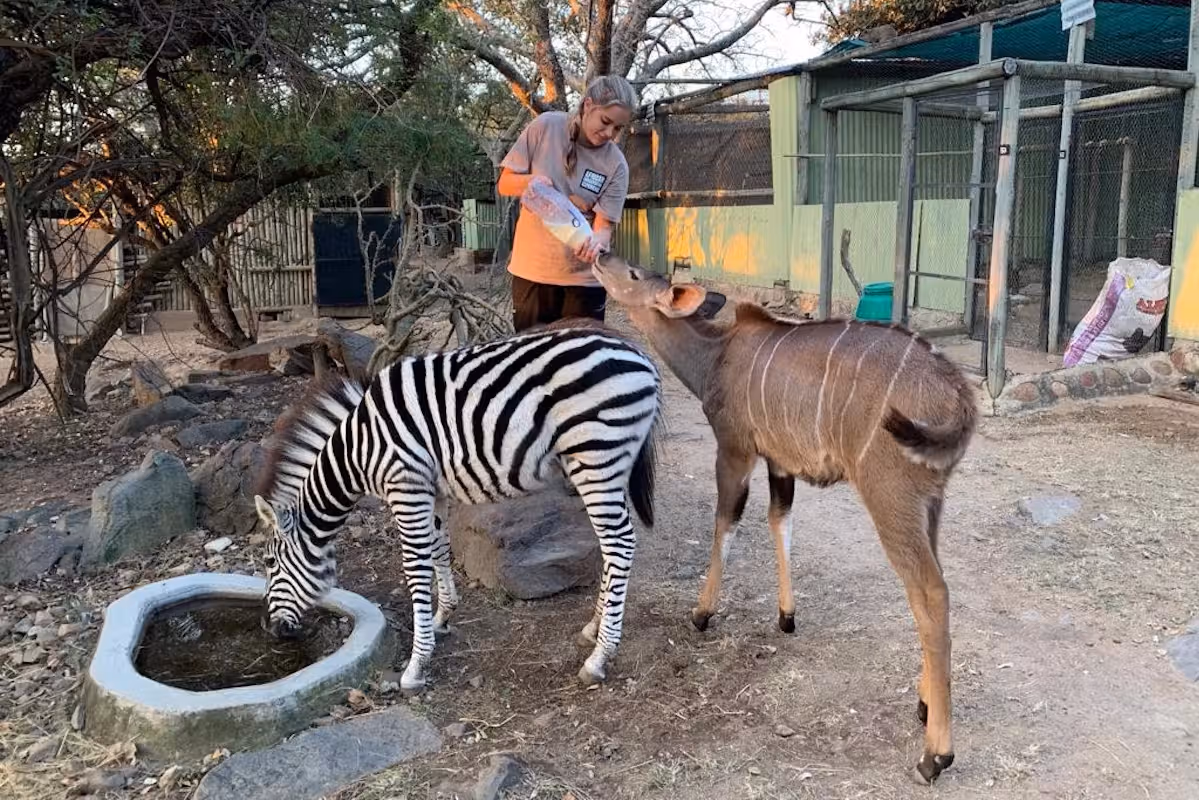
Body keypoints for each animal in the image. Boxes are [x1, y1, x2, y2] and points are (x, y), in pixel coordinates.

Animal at [253, 320, 663, 694]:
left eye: (270, 563)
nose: (269, 629)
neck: (358, 449)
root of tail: (641, 356)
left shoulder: (406, 487)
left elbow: (415, 568)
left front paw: (416, 666)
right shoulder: (433, 491)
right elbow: (440, 550)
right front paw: (442, 616)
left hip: (596, 457)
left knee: (620, 544)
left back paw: (599, 658)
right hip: (606, 464)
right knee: (612, 546)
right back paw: (593, 629)